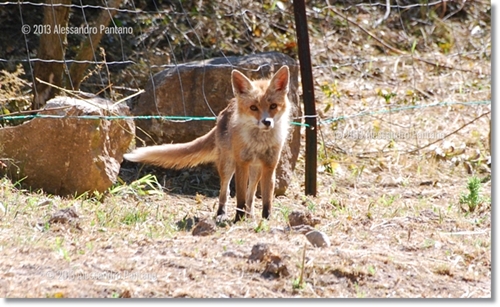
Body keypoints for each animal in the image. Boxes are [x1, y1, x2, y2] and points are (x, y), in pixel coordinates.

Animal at [122, 66, 292, 223]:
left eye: (273, 106)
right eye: (253, 108)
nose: (267, 122)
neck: (259, 143)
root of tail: (227, 108)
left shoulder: (270, 165)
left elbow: (266, 200)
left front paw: (266, 219)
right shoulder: (241, 164)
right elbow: (240, 199)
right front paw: (237, 219)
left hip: (255, 170)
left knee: (251, 194)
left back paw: (250, 216)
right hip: (228, 165)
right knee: (225, 192)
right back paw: (222, 214)